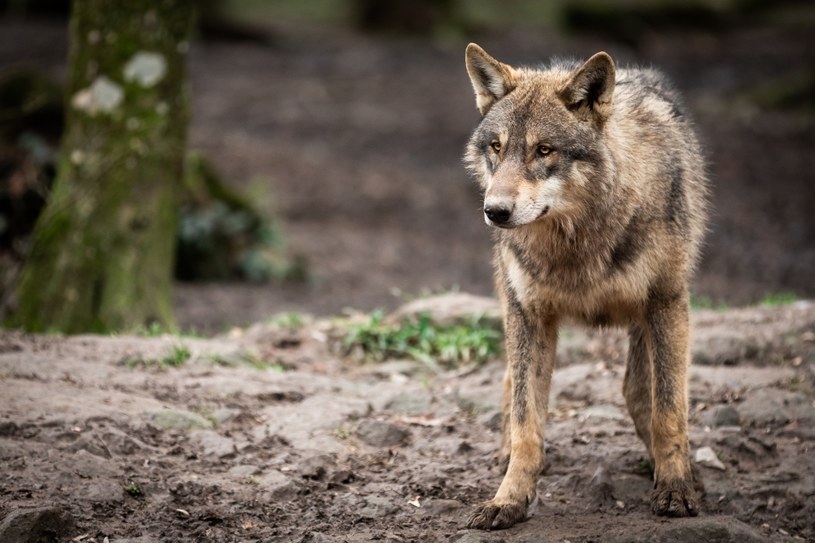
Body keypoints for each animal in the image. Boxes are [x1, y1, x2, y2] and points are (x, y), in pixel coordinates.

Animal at [462, 44, 712, 528]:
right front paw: (509, 499)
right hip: (512, 307)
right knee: (510, 382)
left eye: (544, 150)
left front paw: (676, 489)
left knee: (638, 392)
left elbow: (669, 410)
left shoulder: (667, 302)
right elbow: (526, 422)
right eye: (497, 147)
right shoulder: (529, 315)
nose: (495, 212)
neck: (575, 242)